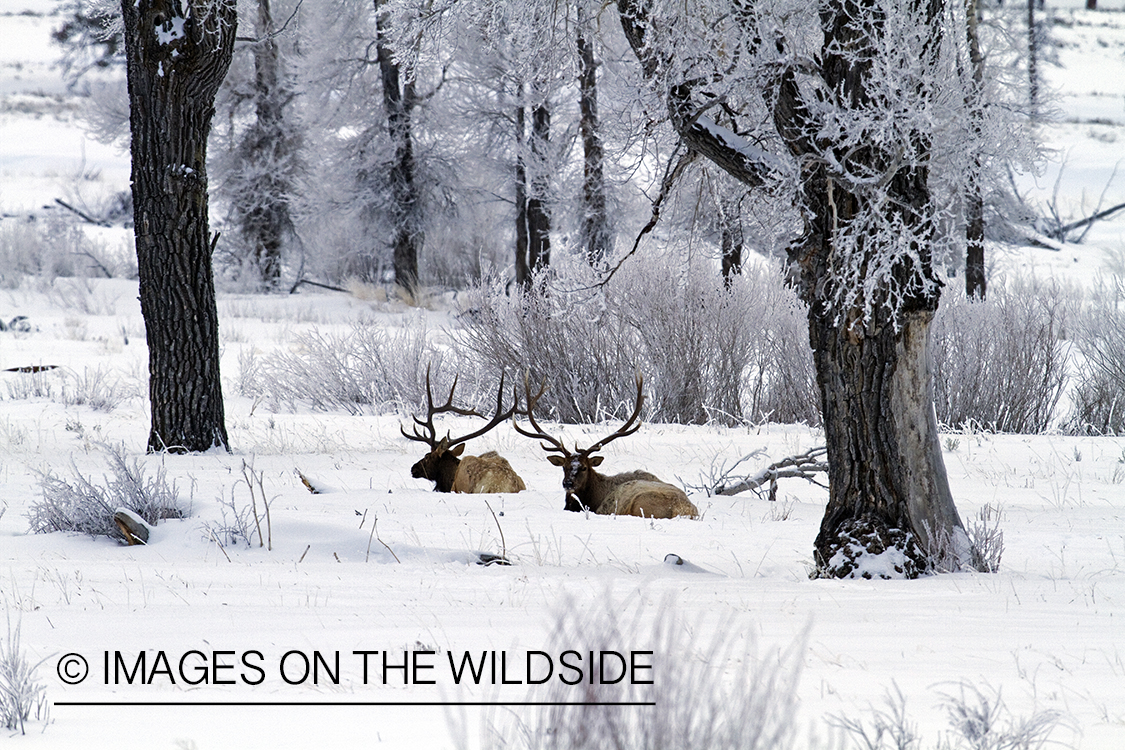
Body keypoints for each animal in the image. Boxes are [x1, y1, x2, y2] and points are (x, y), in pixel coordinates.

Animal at [515, 377, 693, 519]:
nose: (568, 483)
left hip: (639, 503)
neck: (594, 496)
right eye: (564, 467)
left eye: (584, 467)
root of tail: (682, 511)